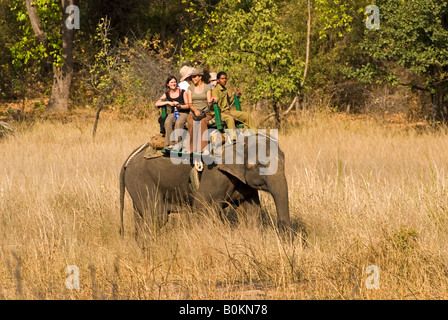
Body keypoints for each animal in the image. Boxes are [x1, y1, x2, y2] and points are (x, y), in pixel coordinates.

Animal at [119, 134, 292, 236]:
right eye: (259, 164)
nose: (284, 234)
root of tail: (128, 160)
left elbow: (251, 211)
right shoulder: (215, 174)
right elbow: (202, 205)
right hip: (141, 179)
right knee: (158, 217)